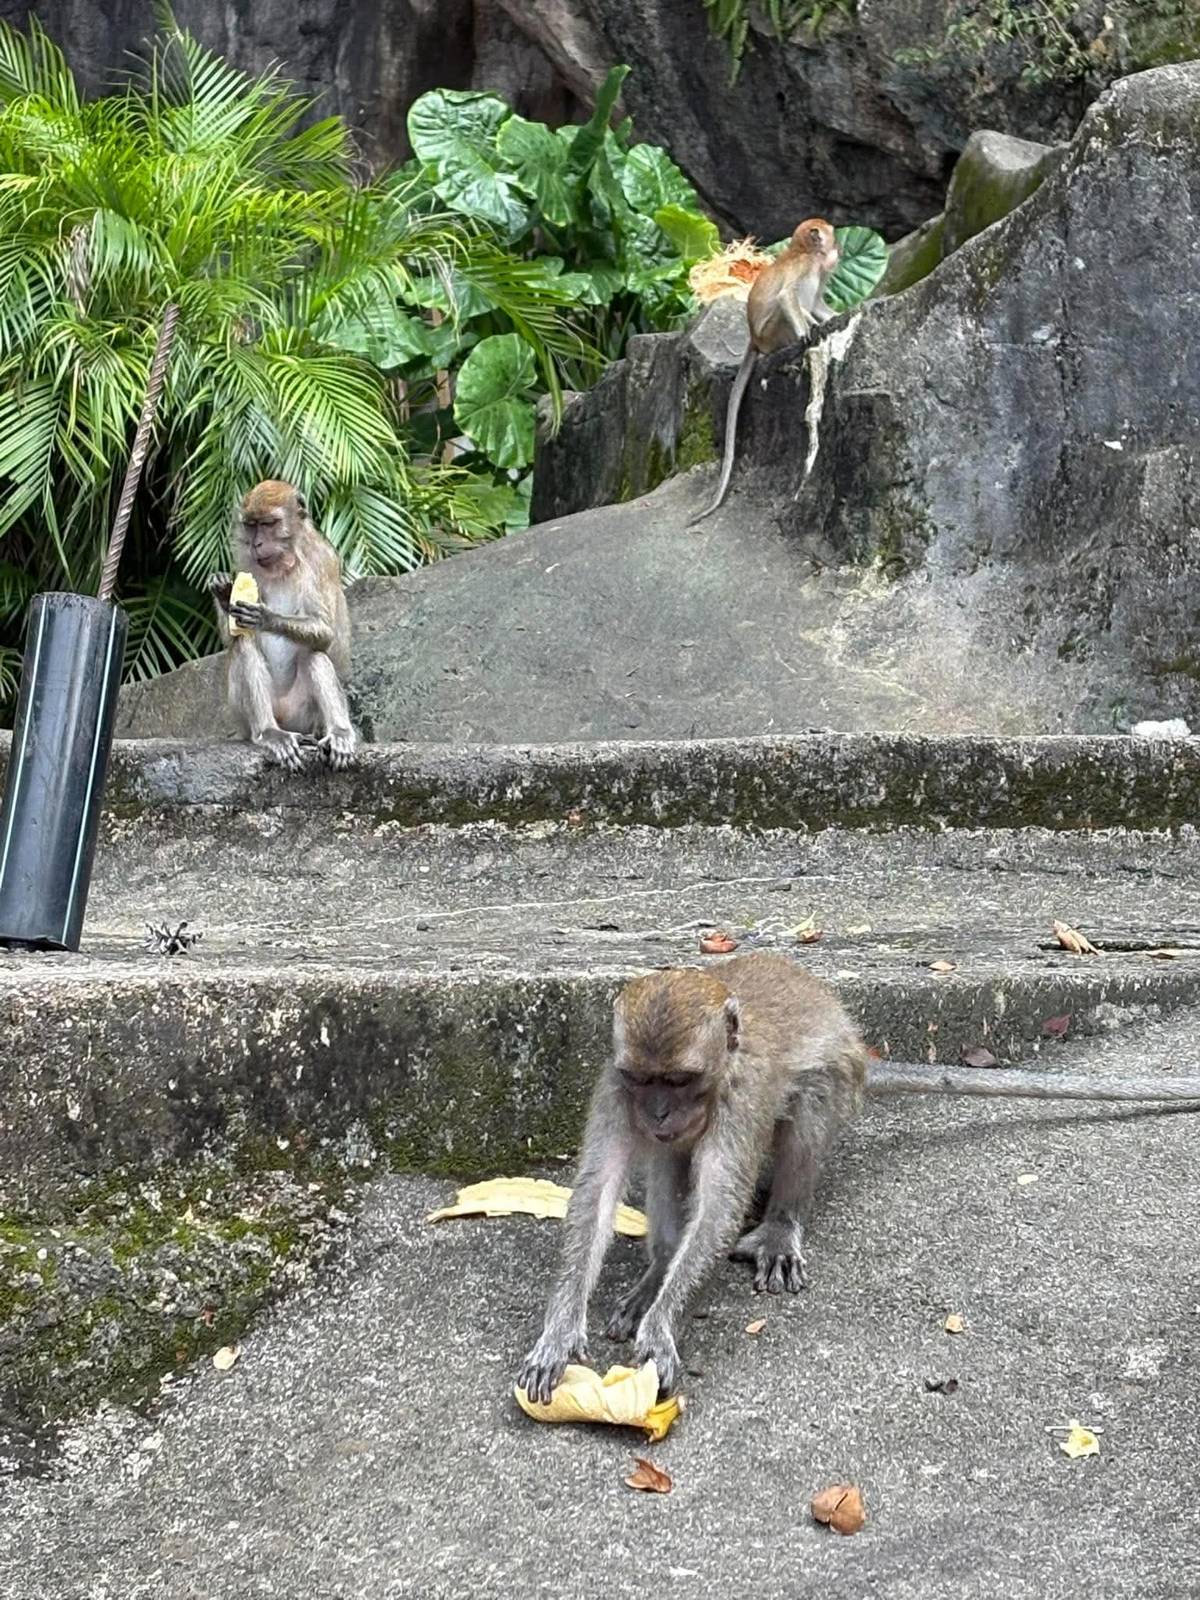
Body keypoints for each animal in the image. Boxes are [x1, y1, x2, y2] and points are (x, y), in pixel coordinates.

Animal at [208, 481, 356, 771]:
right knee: (244, 645)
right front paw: (224, 592)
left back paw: (340, 733)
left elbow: (324, 632)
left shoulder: (320, 560)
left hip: (308, 718)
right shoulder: (245, 562)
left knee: (314, 654)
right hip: (242, 714)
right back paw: (269, 732)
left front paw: (266, 617)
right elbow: (233, 637)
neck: (281, 564)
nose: (257, 543)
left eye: (268, 523)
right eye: (251, 525)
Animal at [517, 952, 1200, 1404]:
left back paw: (778, 1226)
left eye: (680, 1081)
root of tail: (859, 1044)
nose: (659, 1113)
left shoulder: (739, 1098)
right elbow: (597, 1189)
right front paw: (561, 1331)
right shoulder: (613, 1090)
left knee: (807, 1108)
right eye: (644, 1080)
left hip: (839, 1077)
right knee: (668, 1158)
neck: (725, 1061)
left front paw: (661, 1329)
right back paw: (659, 1269)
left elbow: (720, 1202)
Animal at [692, 218, 840, 524]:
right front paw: (808, 334)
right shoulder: (807, 268)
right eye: (829, 233)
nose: (837, 247)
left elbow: (816, 305)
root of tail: (754, 339)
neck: (802, 250)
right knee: (786, 311)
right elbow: (787, 298)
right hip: (773, 332)